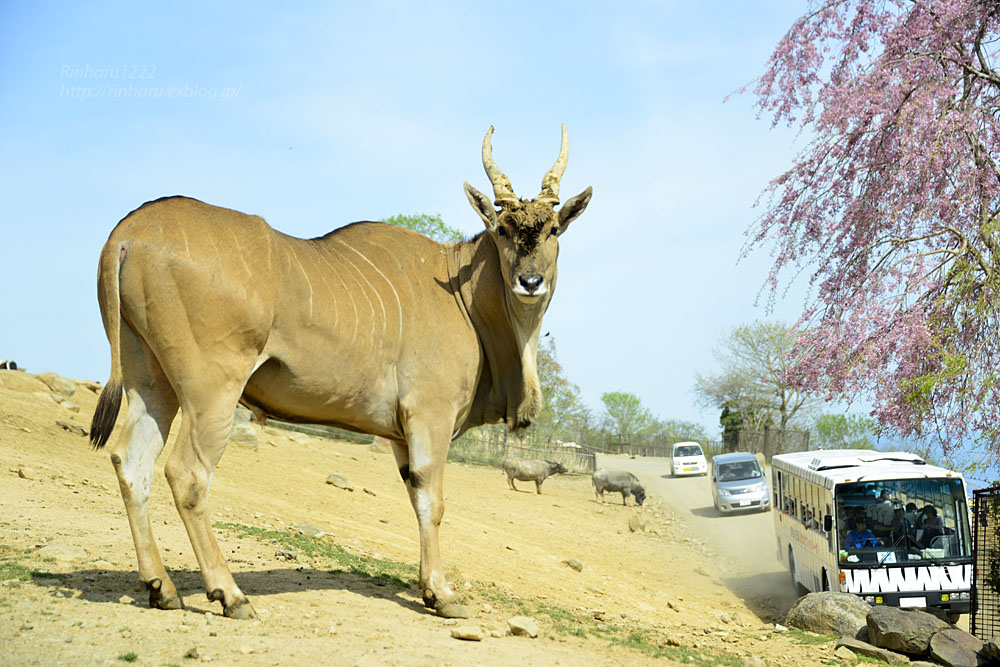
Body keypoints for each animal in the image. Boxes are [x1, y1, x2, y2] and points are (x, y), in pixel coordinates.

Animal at [90, 126, 588, 620]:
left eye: (554, 228)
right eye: (503, 229)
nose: (529, 282)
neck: (461, 292)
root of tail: (129, 233)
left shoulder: (401, 435)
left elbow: (416, 497)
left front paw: (428, 588)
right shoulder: (431, 417)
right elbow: (433, 501)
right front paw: (442, 594)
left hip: (153, 385)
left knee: (131, 464)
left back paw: (161, 587)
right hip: (212, 392)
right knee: (187, 474)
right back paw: (229, 593)